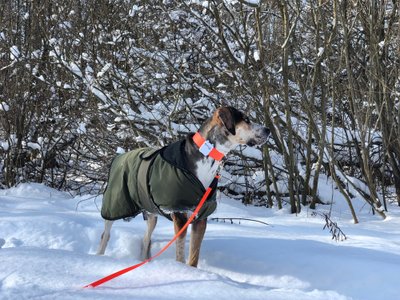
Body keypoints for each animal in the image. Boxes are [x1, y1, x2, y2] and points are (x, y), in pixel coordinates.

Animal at [96, 106, 268, 268]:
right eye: (246, 119)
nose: (267, 130)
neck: (207, 155)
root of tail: (120, 156)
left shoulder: (201, 217)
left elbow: (194, 255)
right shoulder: (179, 214)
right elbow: (180, 253)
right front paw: (181, 269)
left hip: (151, 212)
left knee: (146, 239)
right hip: (115, 204)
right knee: (105, 234)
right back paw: (99, 258)